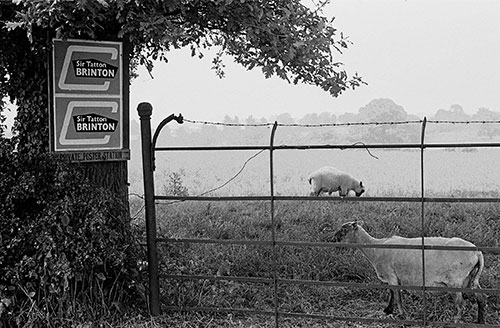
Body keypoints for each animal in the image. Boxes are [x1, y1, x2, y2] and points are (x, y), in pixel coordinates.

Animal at [334, 219, 486, 324]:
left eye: (343, 230)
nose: (334, 239)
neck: (375, 248)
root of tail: (477, 252)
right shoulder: (392, 277)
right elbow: (392, 294)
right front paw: (388, 310)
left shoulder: (391, 275)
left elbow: (397, 295)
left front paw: (403, 315)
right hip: (471, 278)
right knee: (480, 298)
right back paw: (480, 321)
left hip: (456, 281)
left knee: (460, 304)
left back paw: (455, 321)